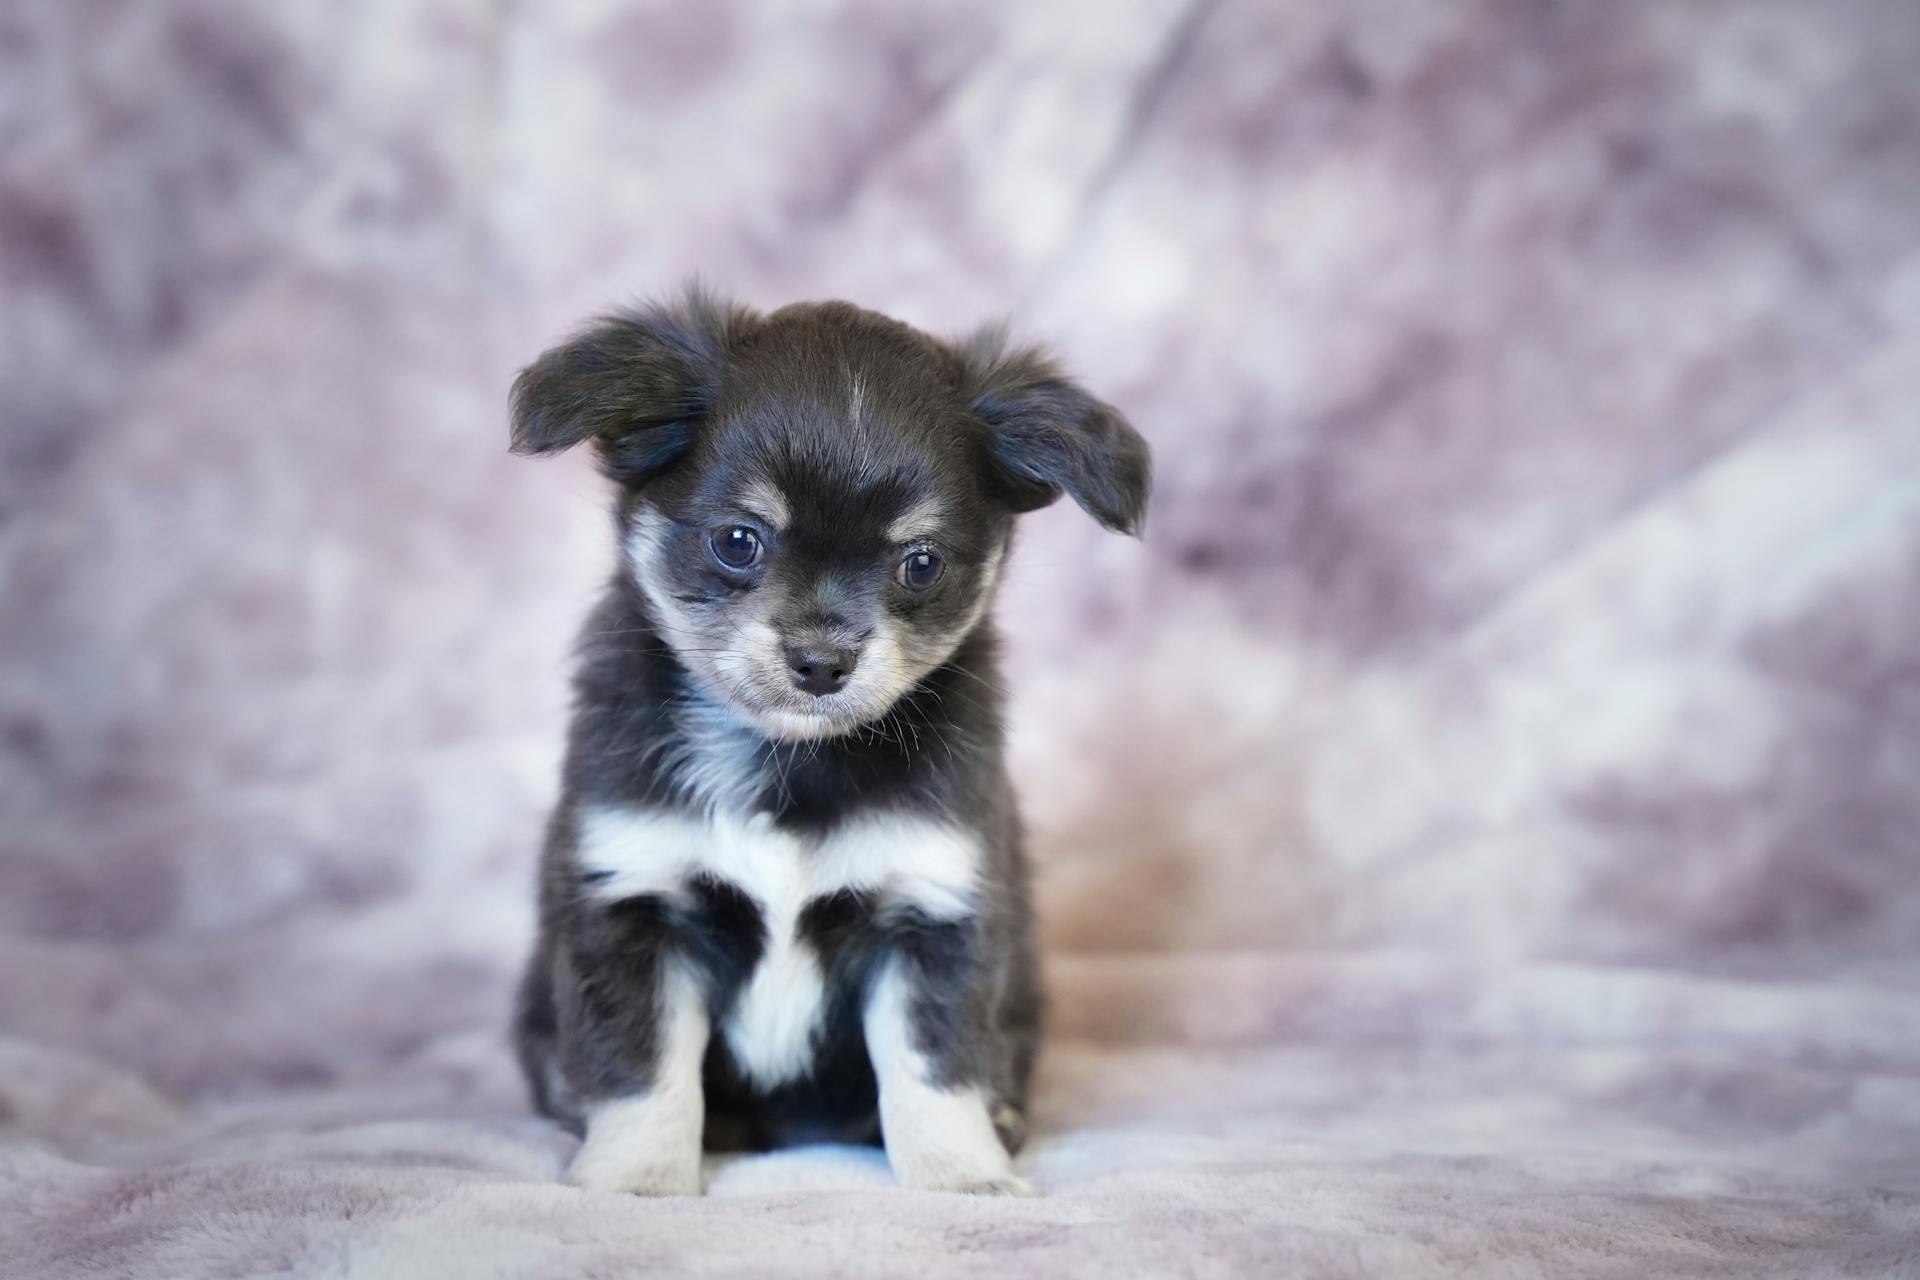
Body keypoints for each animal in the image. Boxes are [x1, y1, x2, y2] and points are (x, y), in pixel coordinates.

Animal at [503, 285, 1144, 1197]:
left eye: (922, 563)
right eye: (738, 540)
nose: (820, 661)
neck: (788, 760)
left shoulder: (931, 909)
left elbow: (932, 1065)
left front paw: (961, 1177)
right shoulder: (633, 902)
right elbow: (643, 1068)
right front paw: (635, 1179)